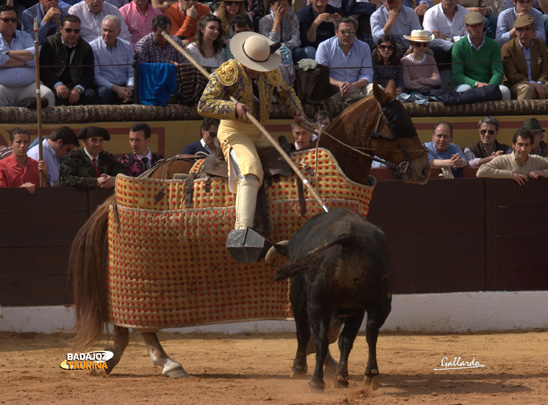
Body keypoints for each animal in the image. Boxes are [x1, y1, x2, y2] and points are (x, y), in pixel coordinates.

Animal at [268, 207, 392, 390]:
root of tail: (350, 237)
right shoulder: (356, 309)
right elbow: (345, 340)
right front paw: (341, 377)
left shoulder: (298, 298)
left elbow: (303, 333)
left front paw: (298, 367)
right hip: (379, 304)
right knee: (370, 334)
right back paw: (369, 374)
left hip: (318, 304)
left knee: (321, 338)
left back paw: (316, 381)